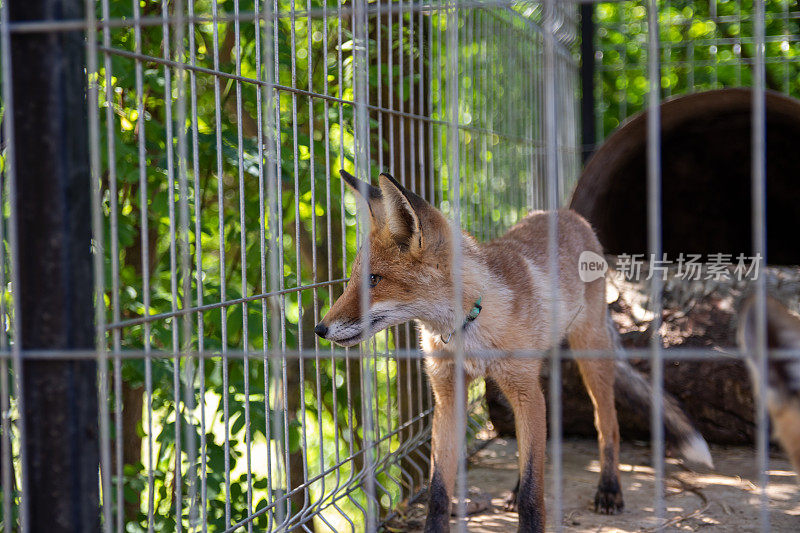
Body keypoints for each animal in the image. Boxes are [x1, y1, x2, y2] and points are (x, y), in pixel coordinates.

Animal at [316, 169, 708, 528]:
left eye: (373, 280)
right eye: (352, 280)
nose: (319, 329)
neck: (468, 325)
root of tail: (569, 214)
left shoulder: (523, 389)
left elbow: (534, 494)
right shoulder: (448, 395)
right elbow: (440, 490)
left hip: (588, 351)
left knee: (606, 423)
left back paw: (609, 489)